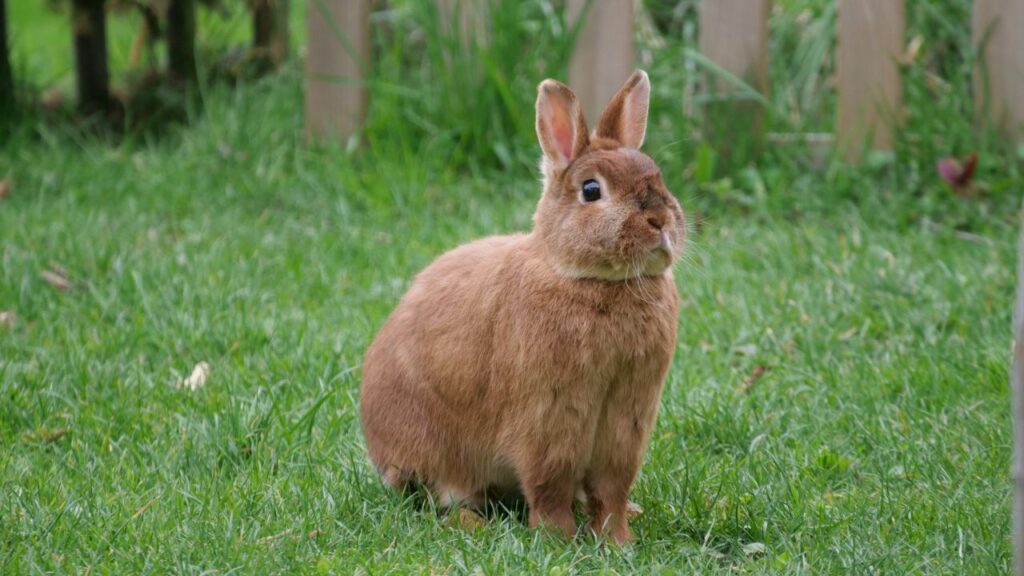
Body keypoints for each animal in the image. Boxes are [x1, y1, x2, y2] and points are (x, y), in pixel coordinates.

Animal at [360, 70, 685, 545]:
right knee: (441, 497)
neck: (591, 280)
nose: (660, 221)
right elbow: (550, 483)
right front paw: (558, 538)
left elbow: (611, 488)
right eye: (592, 190)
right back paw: (471, 523)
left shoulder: (627, 422)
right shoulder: (549, 418)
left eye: (658, 176)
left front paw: (617, 540)